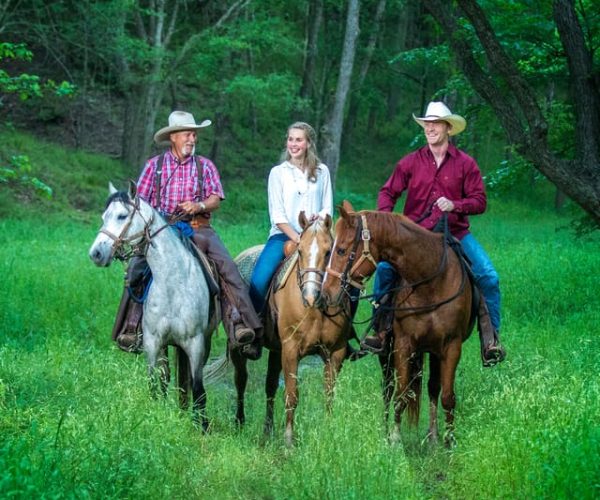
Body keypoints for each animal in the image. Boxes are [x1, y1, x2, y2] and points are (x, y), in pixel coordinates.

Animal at [88, 183, 221, 430]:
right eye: (104, 216)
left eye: (122, 216)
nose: (96, 254)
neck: (173, 283)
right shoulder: (152, 342)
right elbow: (155, 382)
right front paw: (156, 414)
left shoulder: (195, 343)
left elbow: (198, 386)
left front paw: (202, 426)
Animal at [230, 211, 352, 446]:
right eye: (300, 251)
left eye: (328, 252)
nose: (311, 295)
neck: (315, 309)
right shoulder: (291, 350)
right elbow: (291, 395)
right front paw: (289, 441)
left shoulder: (335, 353)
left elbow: (329, 394)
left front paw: (328, 430)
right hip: (236, 347)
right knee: (240, 381)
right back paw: (239, 423)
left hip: (275, 350)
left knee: (269, 386)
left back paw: (267, 431)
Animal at [322, 201, 476, 448]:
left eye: (341, 250)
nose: (326, 294)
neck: (431, 281)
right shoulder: (403, 344)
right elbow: (401, 395)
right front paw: (395, 439)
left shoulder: (452, 346)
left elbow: (447, 397)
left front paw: (449, 441)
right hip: (387, 355)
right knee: (388, 389)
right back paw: (386, 431)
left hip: (434, 351)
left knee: (433, 387)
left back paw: (433, 436)